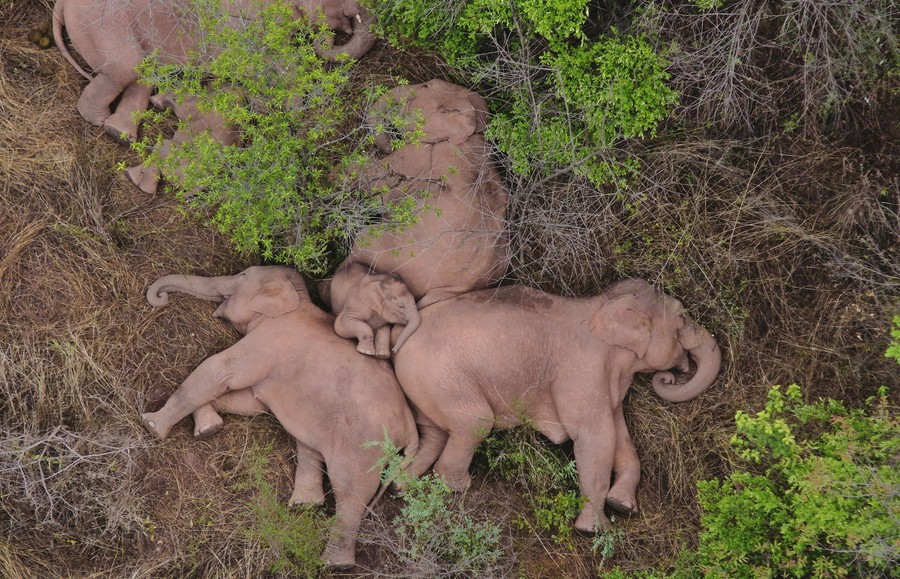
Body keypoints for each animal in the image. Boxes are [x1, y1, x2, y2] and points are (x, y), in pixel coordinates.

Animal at [52, 0, 376, 143]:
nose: (329, 36)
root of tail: (61, 4)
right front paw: (283, 111)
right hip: (105, 25)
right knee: (127, 68)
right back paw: (100, 121)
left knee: (143, 74)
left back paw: (120, 134)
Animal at [140, 265, 418, 569]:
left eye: (241, 276)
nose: (161, 297)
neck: (296, 298)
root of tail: (411, 429)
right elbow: (247, 402)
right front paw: (208, 429)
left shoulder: (269, 339)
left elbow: (220, 371)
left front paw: (152, 425)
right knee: (309, 445)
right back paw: (304, 505)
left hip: (364, 446)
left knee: (351, 490)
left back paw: (333, 563)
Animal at [325, 79, 510, 309]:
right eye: (428, 84)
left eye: (423, 88)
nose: (385, 145)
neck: (475, 131)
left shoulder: (419, 156)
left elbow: (372, 179)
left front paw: (329, 177)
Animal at [390, 279, 722, 532]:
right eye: (683, 318)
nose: (668, 377)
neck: (602, 304)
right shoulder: (582, 370)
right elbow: (595, 436)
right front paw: (593, 530)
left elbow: (620, 436)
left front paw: (623, 506)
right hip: (441, 375)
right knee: (475, 423)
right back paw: (457, 486)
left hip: (425, 386)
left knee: (434, 433)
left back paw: (400, 485)